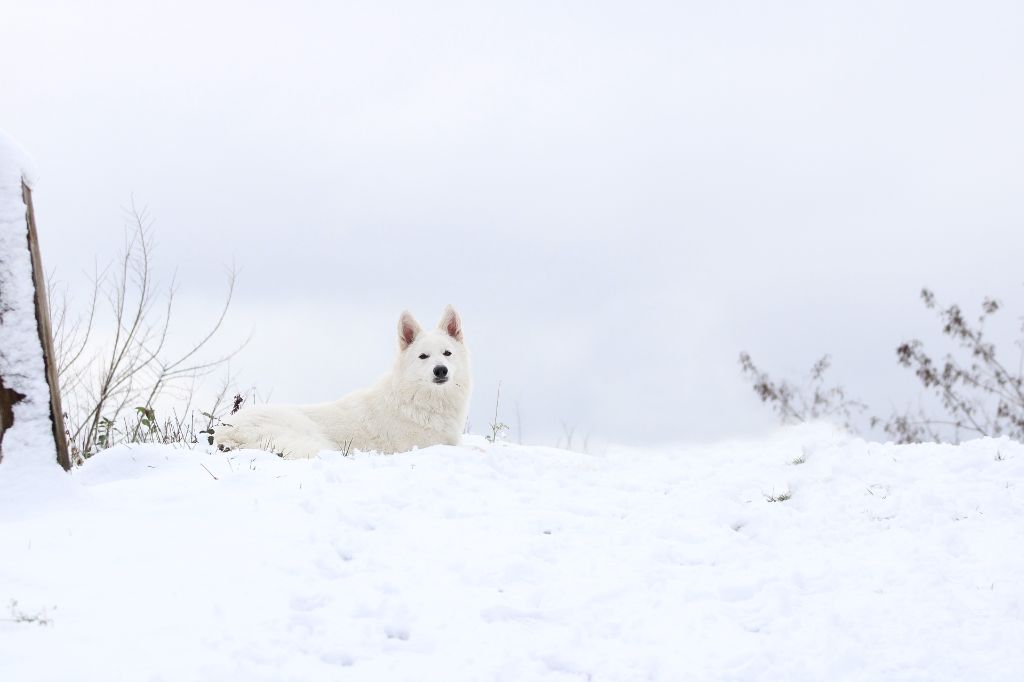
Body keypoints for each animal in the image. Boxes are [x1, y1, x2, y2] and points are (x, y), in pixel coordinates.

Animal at [218, 307, 473, 456]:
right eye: (423, 356)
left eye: (447, 353)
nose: (440, 370)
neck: (421, 402)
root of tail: (224, 433)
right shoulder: (427, 447)